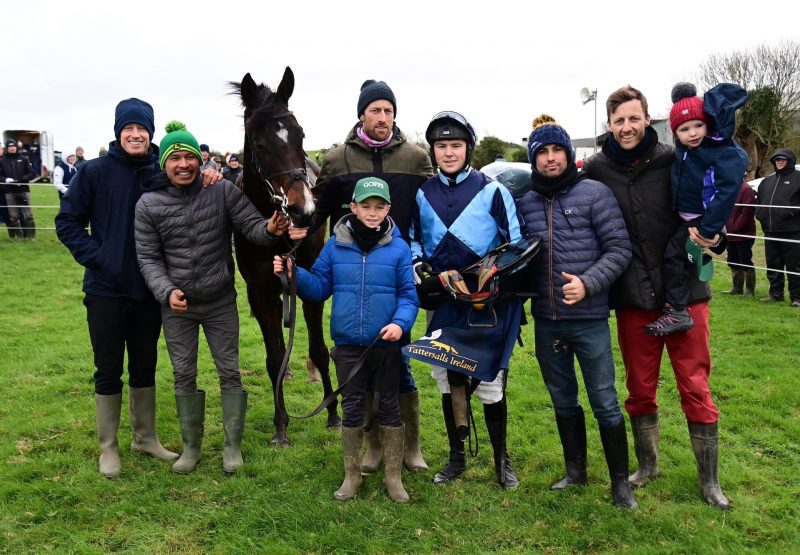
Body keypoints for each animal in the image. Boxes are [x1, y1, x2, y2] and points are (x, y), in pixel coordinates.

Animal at [233, 66, 342, 448]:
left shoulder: (311, 286)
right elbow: (273, 358)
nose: (302, 210)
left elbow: (320, 350)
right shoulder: (261, 292)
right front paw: (281, 426)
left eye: (300, 135)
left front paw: (333, 414)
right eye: (259, 145)